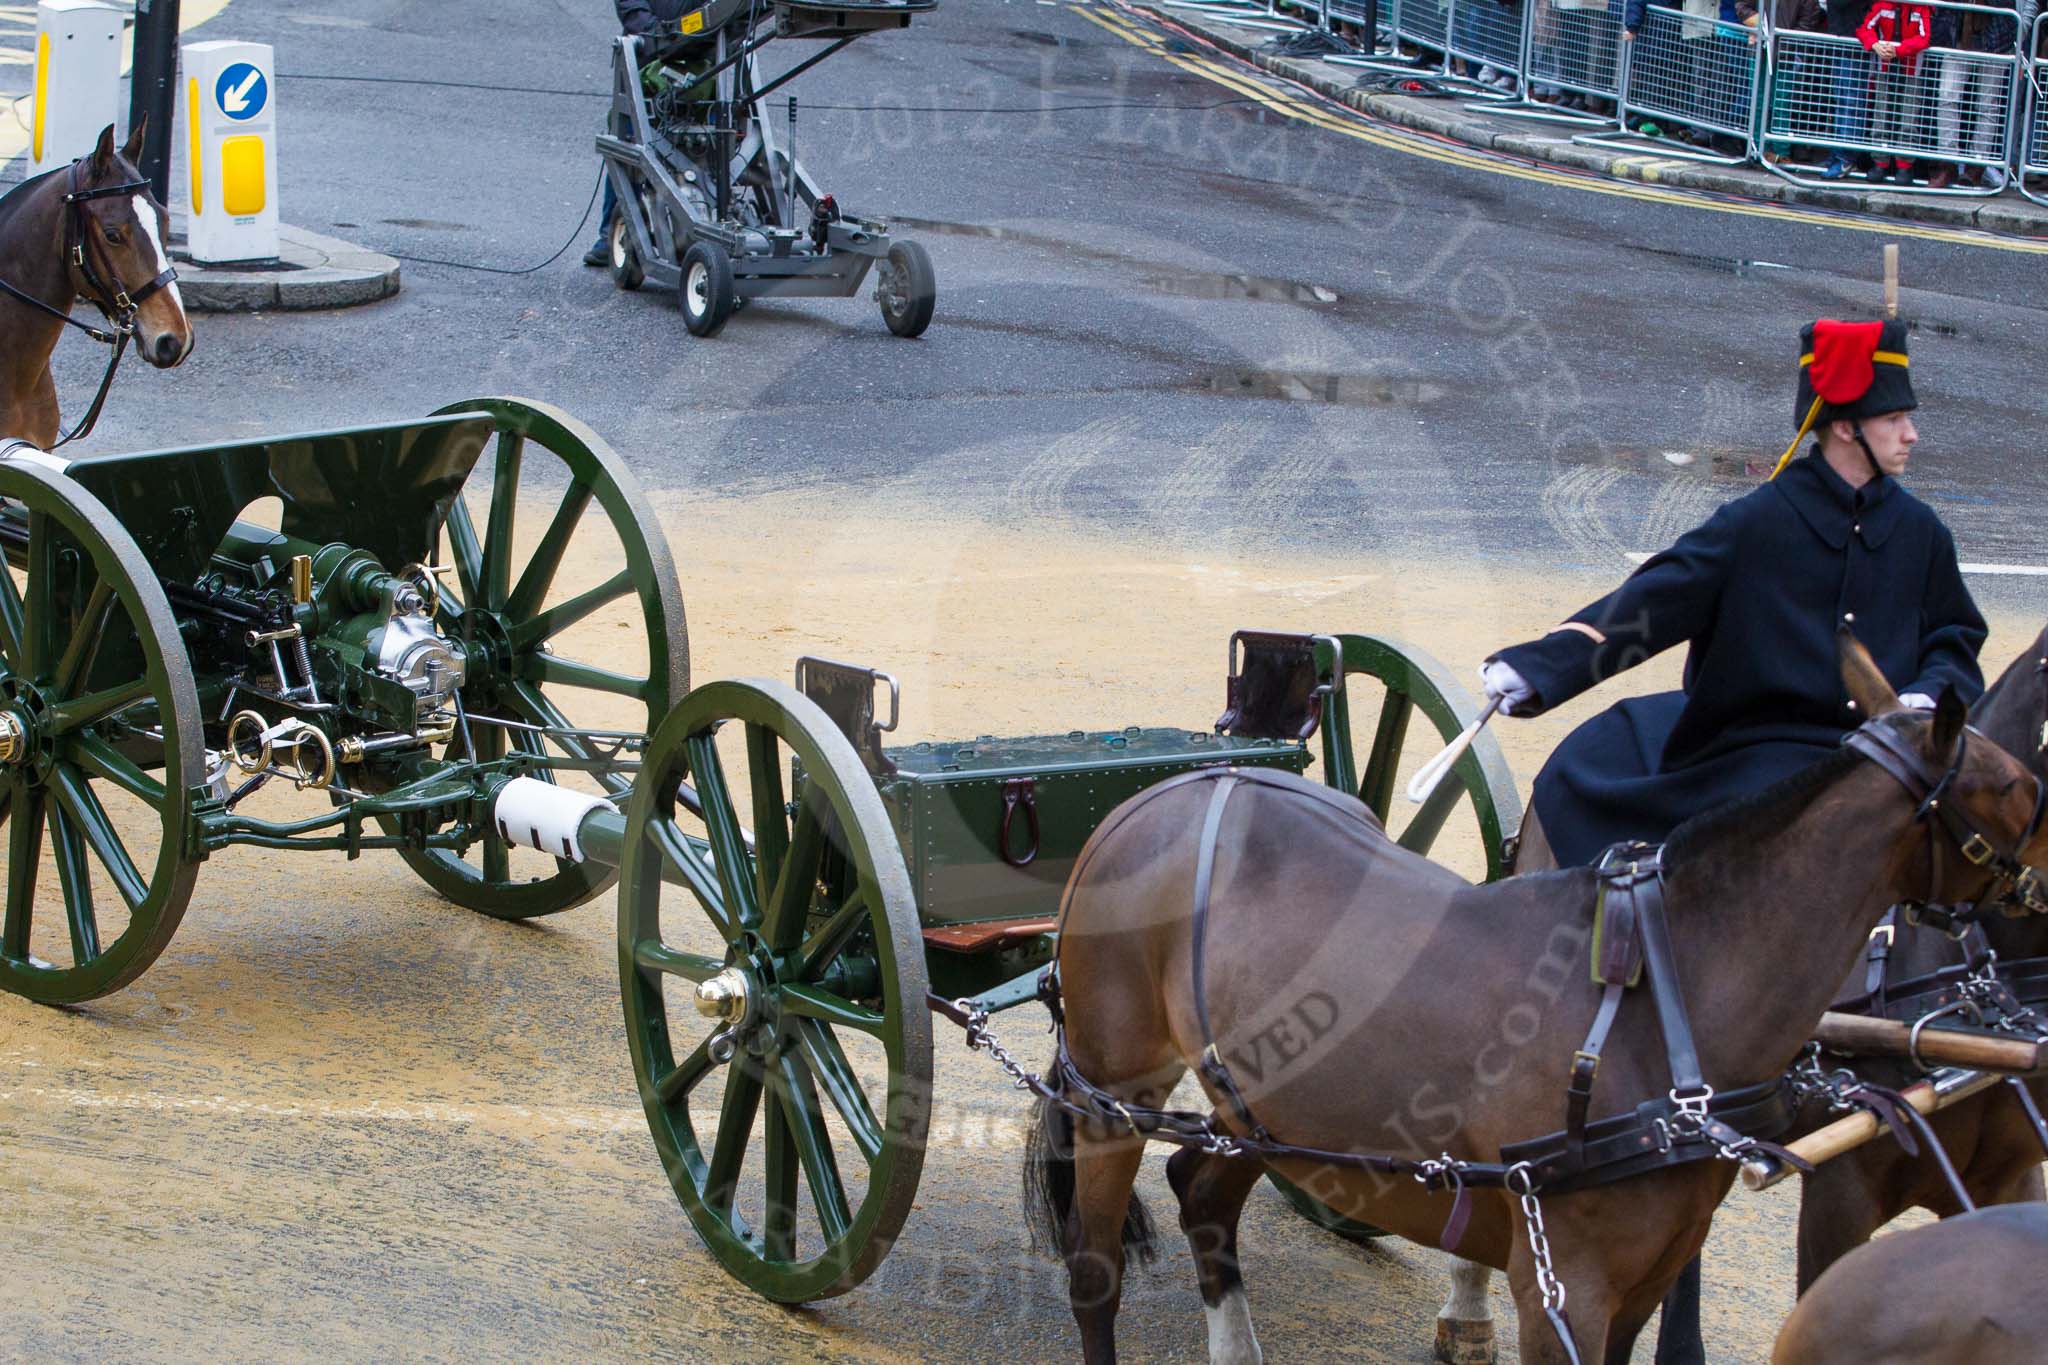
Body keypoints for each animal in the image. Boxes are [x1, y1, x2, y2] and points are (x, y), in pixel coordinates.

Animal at [1015, 642, 2039, 1365]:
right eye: (2023, 787)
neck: (1666, 1000)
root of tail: (1156, 795)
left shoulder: (1650, 1272)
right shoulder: (1564, 1287)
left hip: (1259, 1103)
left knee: (1202, 1188)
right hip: (1116, 1095)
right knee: (1096, 1265)